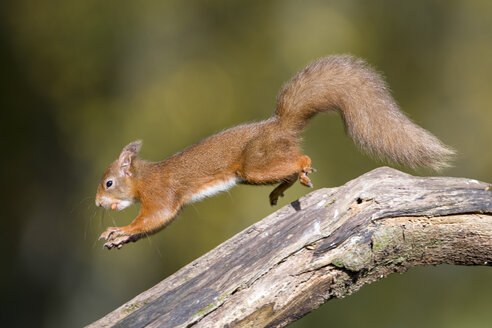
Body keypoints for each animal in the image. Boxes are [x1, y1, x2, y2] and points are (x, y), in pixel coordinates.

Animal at [95, 55, 454, 249]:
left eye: (109, 182)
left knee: (300, 159)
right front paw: (119, 236)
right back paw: (283, 188)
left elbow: (154, 217)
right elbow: (158, 224)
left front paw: (120, 230)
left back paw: (303, 171)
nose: (98, 203)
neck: (143, 177)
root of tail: (280, 127)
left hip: (255, 164)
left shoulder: (160, 194)